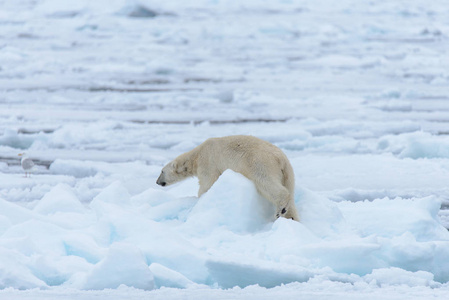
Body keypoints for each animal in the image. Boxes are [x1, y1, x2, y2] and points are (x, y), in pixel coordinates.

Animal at [156, 135, 300, 221]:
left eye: (162, 171)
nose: (157, 182)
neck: (196, 155)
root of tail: (280, 159)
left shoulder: (208, 162)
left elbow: (207, 184)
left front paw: (201, 197)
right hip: (288, 173)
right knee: (290, 191)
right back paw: (290, 217)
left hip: (260, 164)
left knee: (266, 183)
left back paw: (280, 210)